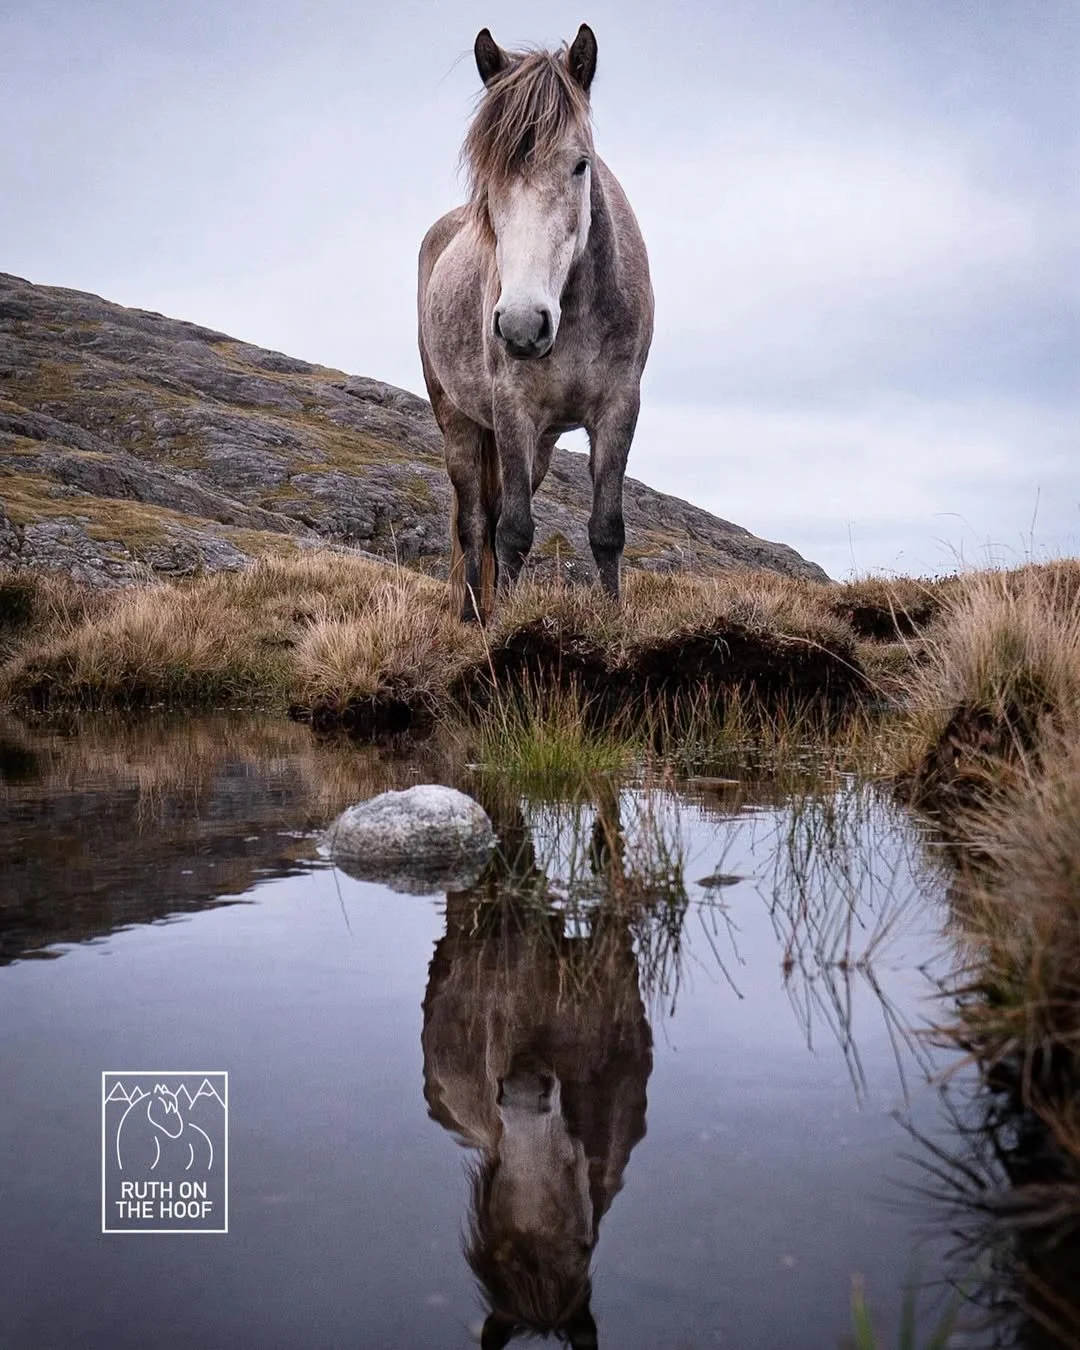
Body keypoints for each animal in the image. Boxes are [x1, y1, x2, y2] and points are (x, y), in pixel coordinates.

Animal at [418, 24, 654, 622]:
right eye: (489, 176)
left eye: (580, 164)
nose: (523, 325)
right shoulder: (512, 410)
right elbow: (514, 531)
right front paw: (499, 626)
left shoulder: (619, 408)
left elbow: (607, 530)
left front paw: (614, 620)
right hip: (458, 419)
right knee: (474, 522)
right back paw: (471, 613)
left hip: (541, 443)